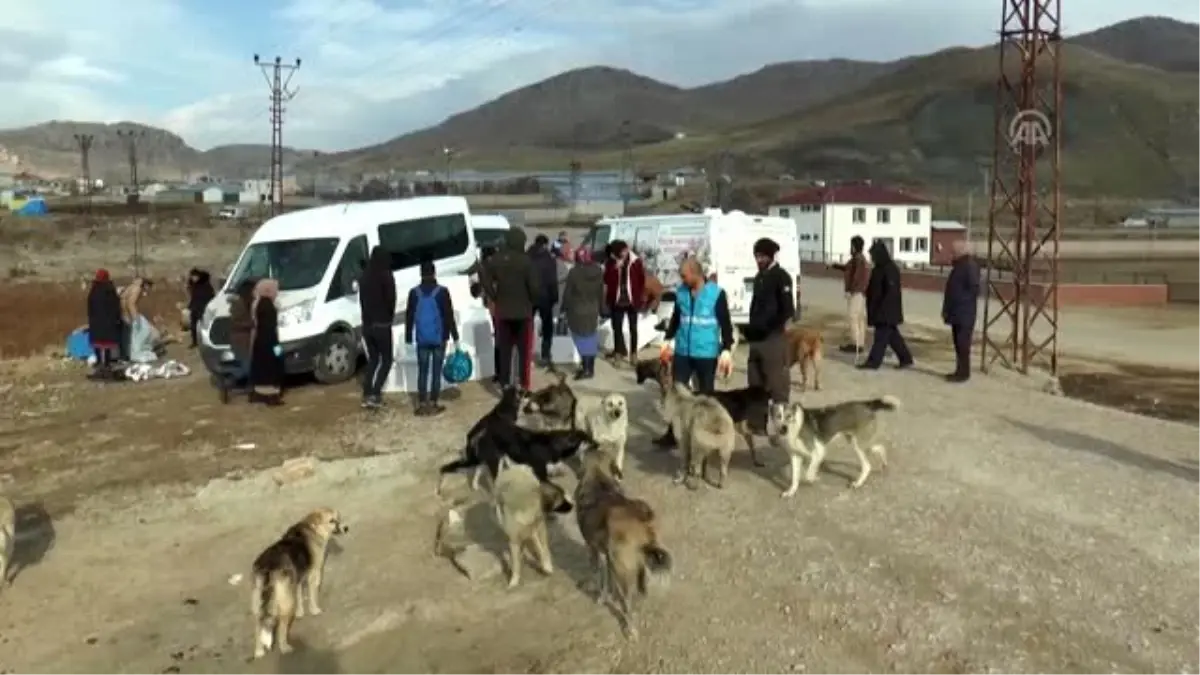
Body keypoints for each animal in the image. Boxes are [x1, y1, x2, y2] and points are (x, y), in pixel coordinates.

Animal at [249, 506, 348, 653]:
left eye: (339, 518)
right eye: (331, 521)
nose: (346, 528)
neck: (313, 528)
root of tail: (268, 566)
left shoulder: (298, 578)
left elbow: (300, 596)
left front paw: (300, 613)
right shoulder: (314, 575)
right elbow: (312, 596)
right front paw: (314, 610)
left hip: (258, 600)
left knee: (258, 625)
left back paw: (259, 651)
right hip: (286, 602)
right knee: (281, 627)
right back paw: (284, 647)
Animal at [573, 446, 672, 634]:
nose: (584, 445)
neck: (598, 478)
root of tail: (642, 525)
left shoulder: (593, 549)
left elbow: (599, 577)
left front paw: (599, 597)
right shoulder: (605, 554)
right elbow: (606, 579)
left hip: (622, 570)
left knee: (627, 603)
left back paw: (630, 629)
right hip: (639, 566)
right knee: (640, 592)